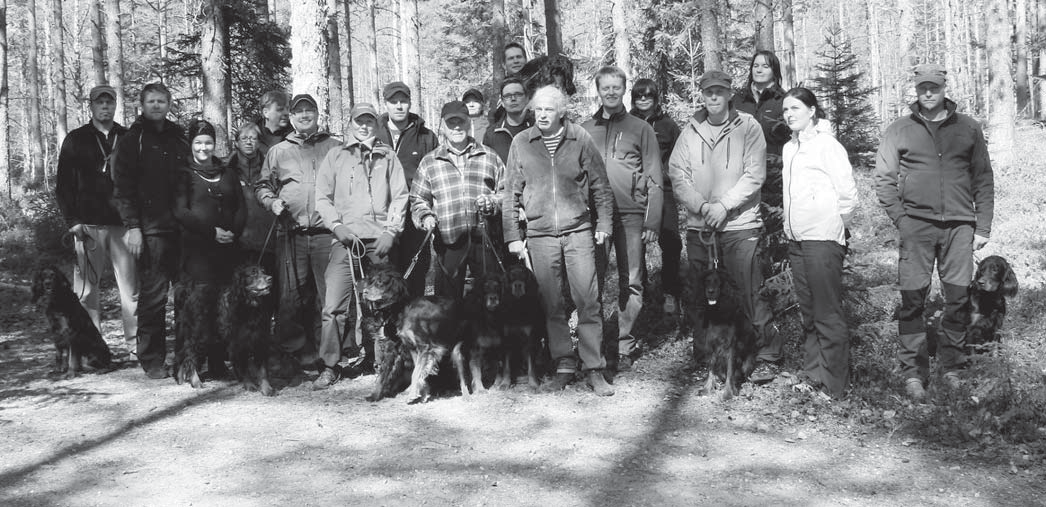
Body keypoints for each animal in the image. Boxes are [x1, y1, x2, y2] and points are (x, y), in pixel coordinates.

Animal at [219, 264, 276, 395]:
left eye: (263, 271)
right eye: (253, 273)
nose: (270, 278)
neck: (250, 308)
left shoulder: (260, 340)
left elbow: (263, 370)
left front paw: (266, 388)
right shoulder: (238, 343)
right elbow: (244, 366)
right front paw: (249, 384)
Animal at [698, 266, 757, 401]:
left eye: (718, 281)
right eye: (707, 281)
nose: (710, 291)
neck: (719, 312)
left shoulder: (731, 346)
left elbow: (730, 371)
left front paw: (728, 393)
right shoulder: (712, 344)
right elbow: (710, 369)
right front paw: (707, 389)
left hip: (748, 362)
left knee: (747, 379)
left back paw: (747, 391)